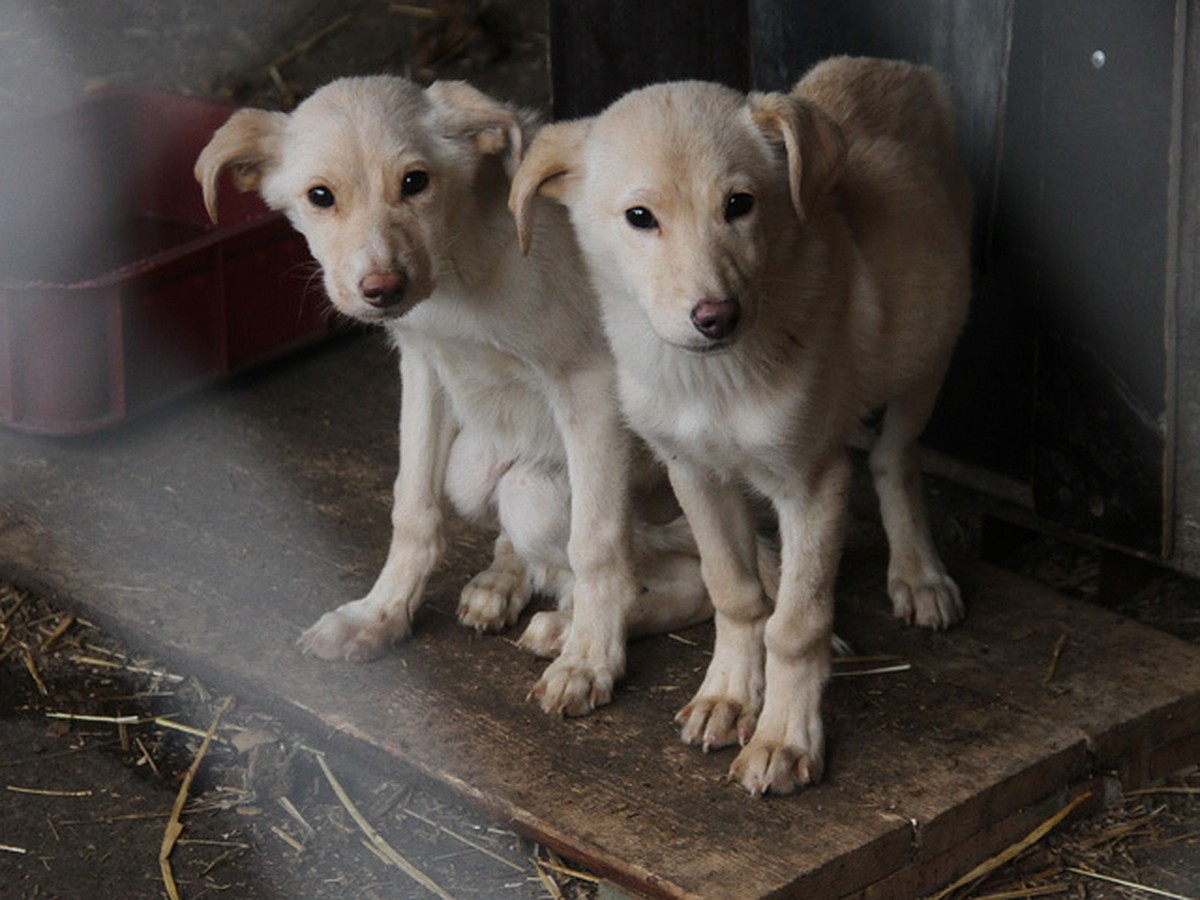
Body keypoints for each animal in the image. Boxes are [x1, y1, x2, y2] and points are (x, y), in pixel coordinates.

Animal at [193, 75, 710, 720]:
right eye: (320, 196)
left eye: (416, 182)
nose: (382, 289)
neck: (461, 266)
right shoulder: (423, 366)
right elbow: (411, 506)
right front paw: (380, 614)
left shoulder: (590, 383)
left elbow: (597, 542)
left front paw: (590, 661)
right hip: (475, 464)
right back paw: (503, 582)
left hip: (553, 494)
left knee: (707, 578)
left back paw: (574, 628)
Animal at [513, 56, 974, 792]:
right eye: (639, 217)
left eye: (740, 204)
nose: (716, 316)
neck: (711, 380)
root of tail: (891, 67)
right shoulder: (693, 471)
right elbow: (734, 592)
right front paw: (729, 697)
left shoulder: (813, 483)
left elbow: (796, 622)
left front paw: (784, 736)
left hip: (931, 350)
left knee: (893, 457)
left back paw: (919, 574)